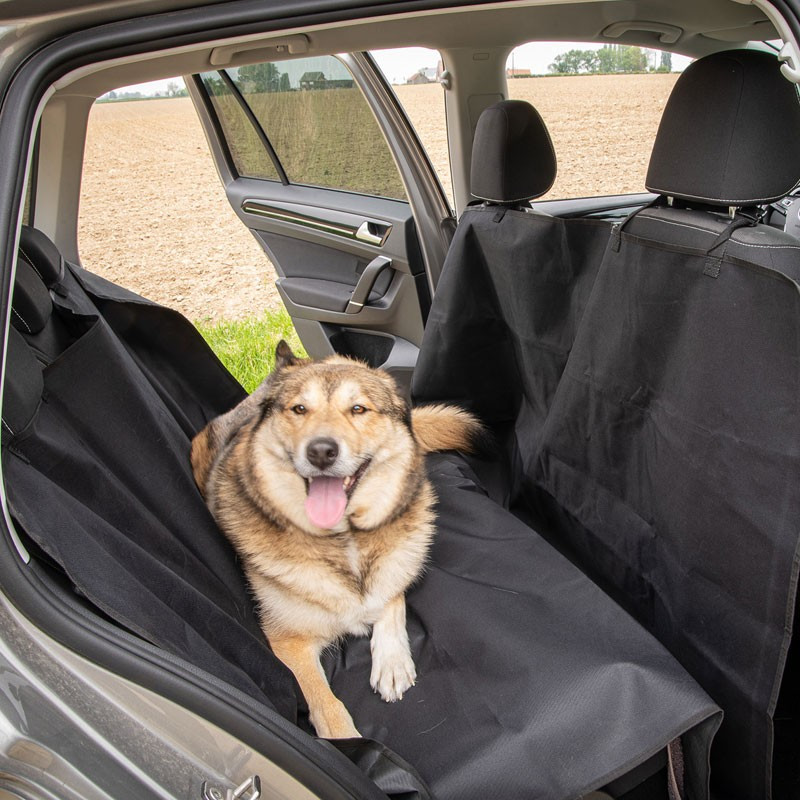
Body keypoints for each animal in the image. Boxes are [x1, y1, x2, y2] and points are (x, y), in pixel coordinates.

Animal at [192, 340, 482, 740]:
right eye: (299, 409)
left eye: (358, 409)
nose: (321, 451)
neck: (346, 540)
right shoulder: (288, 642)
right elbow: (327, 707)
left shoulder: (395, 568)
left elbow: (391, 601)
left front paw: (392, 661)